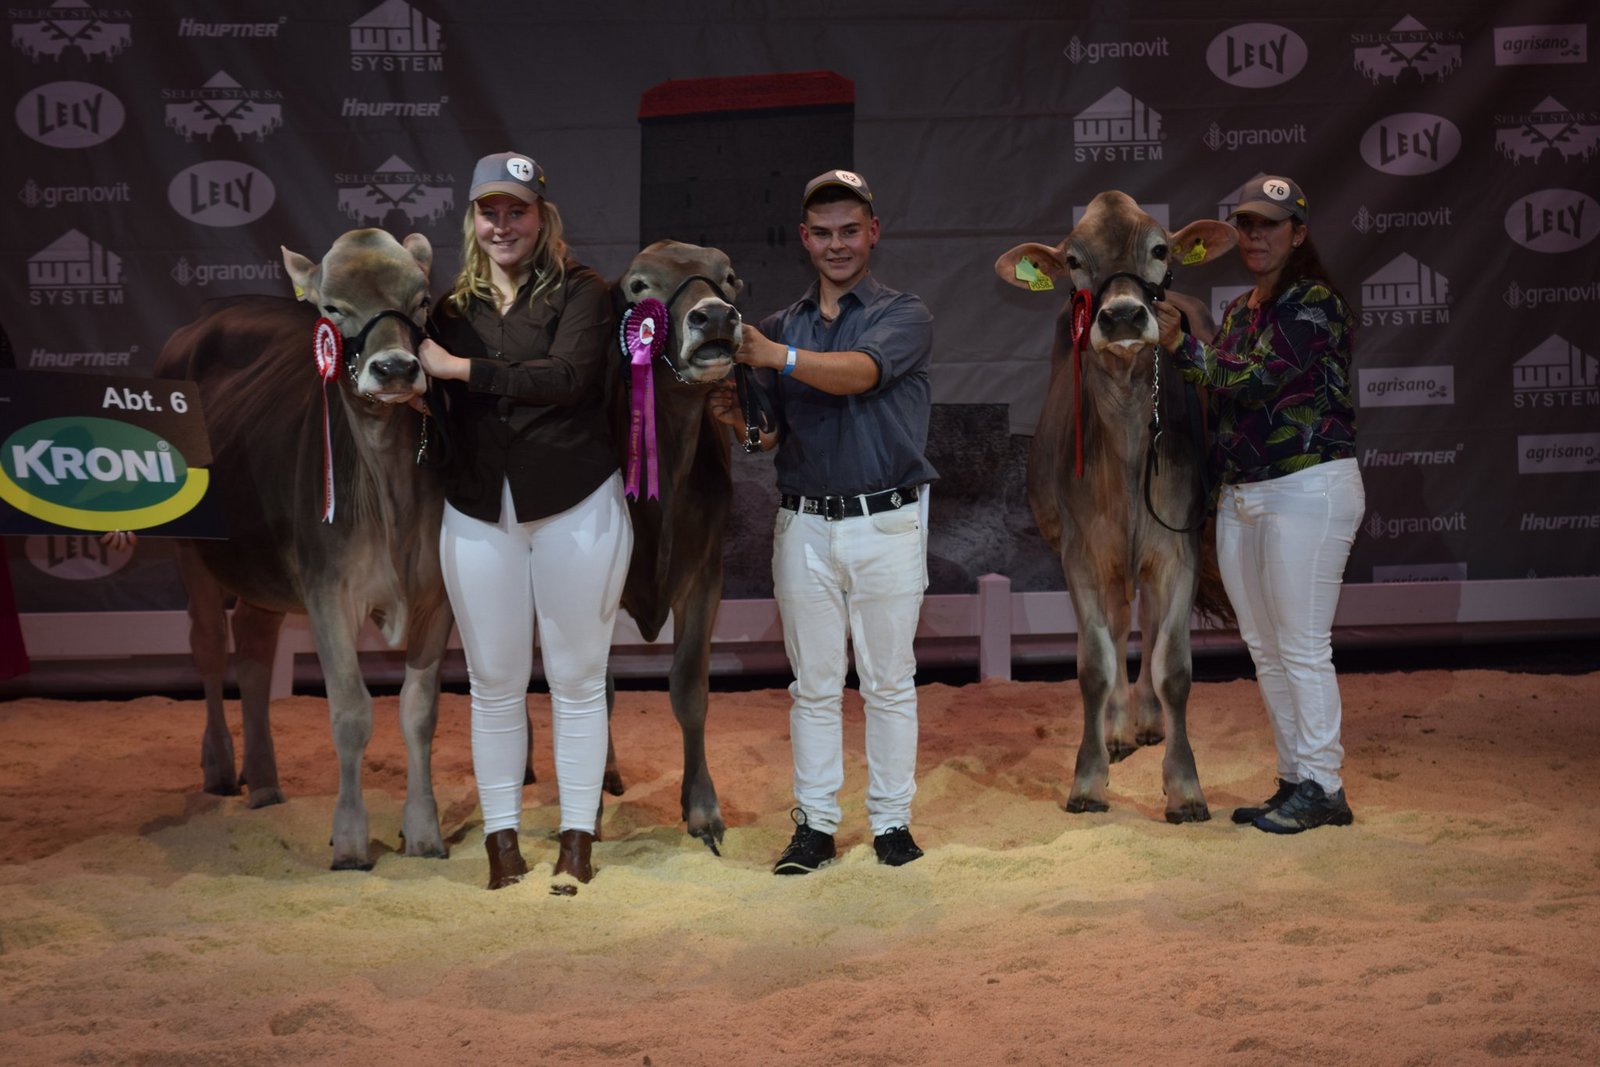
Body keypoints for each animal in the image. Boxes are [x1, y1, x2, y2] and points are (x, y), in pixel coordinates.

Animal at [154, 228, 452, 870]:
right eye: (331, 308)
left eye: (420, 302)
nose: (395, 368)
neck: (387, 492)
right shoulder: (327, 591)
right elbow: (350, 711)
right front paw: (350, 840)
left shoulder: (435, 595)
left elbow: (419, 711)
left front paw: (423, 832)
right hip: (192, 550)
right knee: (209, 647)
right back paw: (220, 766)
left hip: (263, 572)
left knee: (254, 651)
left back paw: (265, 781)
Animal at [995, 191, 1236, 823]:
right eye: (1074, 261)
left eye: (1159, 249)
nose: (1123, 315)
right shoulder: (1079, 555)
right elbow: (1094, 665)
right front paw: (1088, 777)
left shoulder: (1178, 550)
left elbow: (1174, 667)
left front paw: (1185, 787)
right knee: (1123, 620)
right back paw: (1122, 729)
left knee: (1148, 627)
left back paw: (1148, 722)